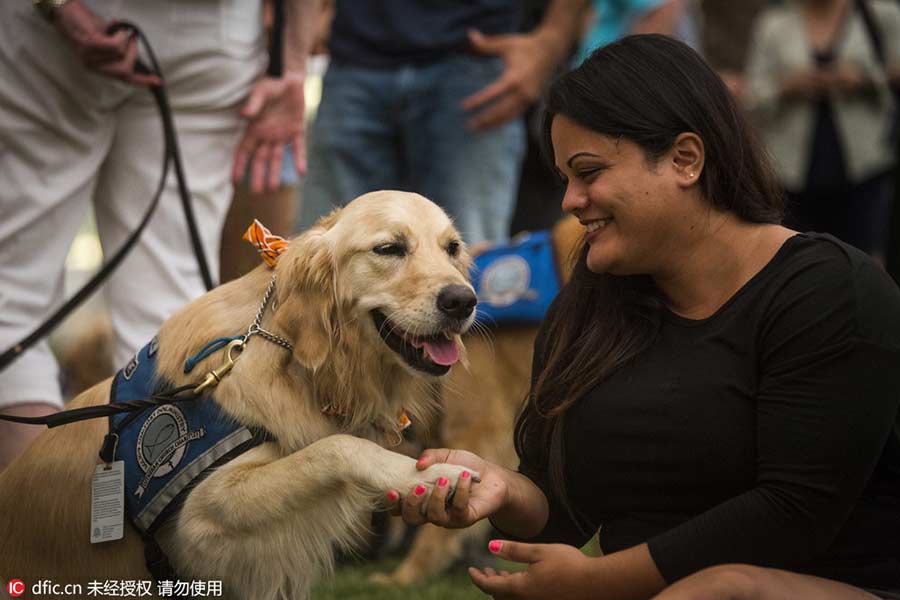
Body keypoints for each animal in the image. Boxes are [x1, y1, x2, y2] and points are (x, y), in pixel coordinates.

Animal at [0, 191, 478, 600]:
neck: (294, 357)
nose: (463, 300)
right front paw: (431, 476)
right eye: (389, 248)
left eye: (452, 247)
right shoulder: (202, 514)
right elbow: (337, 447)